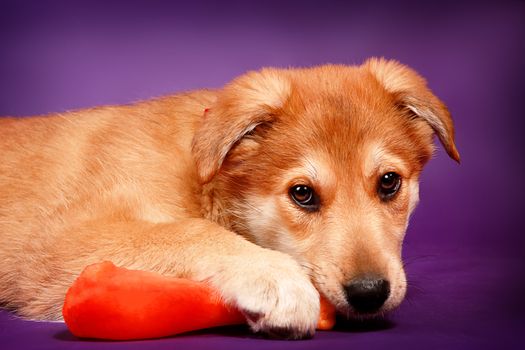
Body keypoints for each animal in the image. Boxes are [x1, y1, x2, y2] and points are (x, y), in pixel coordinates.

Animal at [0, 58, 458, 338]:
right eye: (302, 194)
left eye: (389, 183)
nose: (369, 293)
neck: (204, 179)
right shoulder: (58, 248)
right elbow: (187, 230)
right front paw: (274, 276)